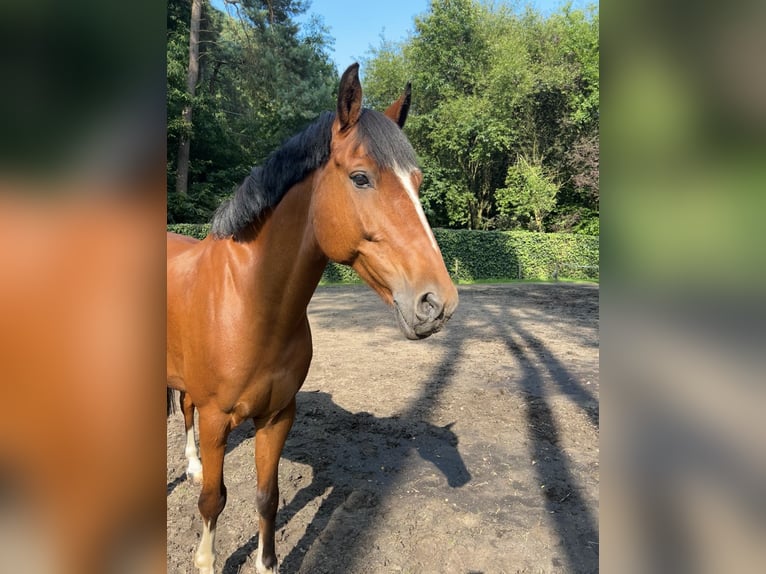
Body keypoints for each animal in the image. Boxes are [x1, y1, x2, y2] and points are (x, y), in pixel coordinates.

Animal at [167, 64, 460, 574]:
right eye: (361, 178)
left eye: (418, 183)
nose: (436, 302)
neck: (250, 304)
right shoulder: (217, 420)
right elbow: (213, 501)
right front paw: (205, 560)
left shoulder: (277, 416)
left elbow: (267, 497)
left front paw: (267, 563)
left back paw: (192, 466)